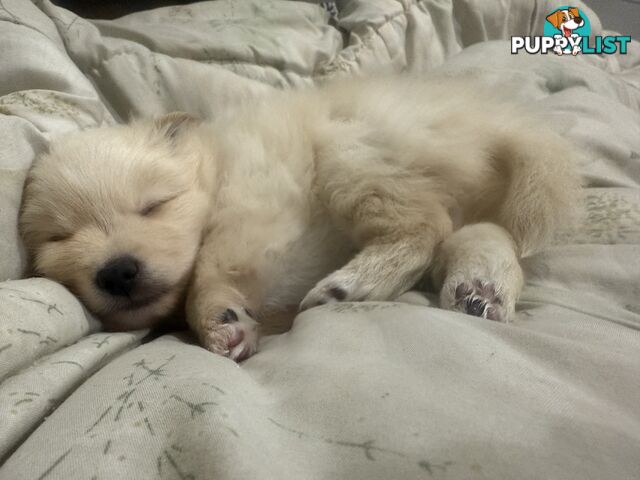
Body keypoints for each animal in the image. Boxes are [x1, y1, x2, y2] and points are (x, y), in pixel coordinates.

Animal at [18, 76, 580, 360]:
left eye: (154, 204)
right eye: (59, 239)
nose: (117, 272)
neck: (214, 169)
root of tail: (488, 121)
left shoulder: (252, 209)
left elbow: (206, 276)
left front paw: (218, 321)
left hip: (349, 155)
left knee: (425, 228)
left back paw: (348, 285)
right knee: (484, 232)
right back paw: (481, 291)